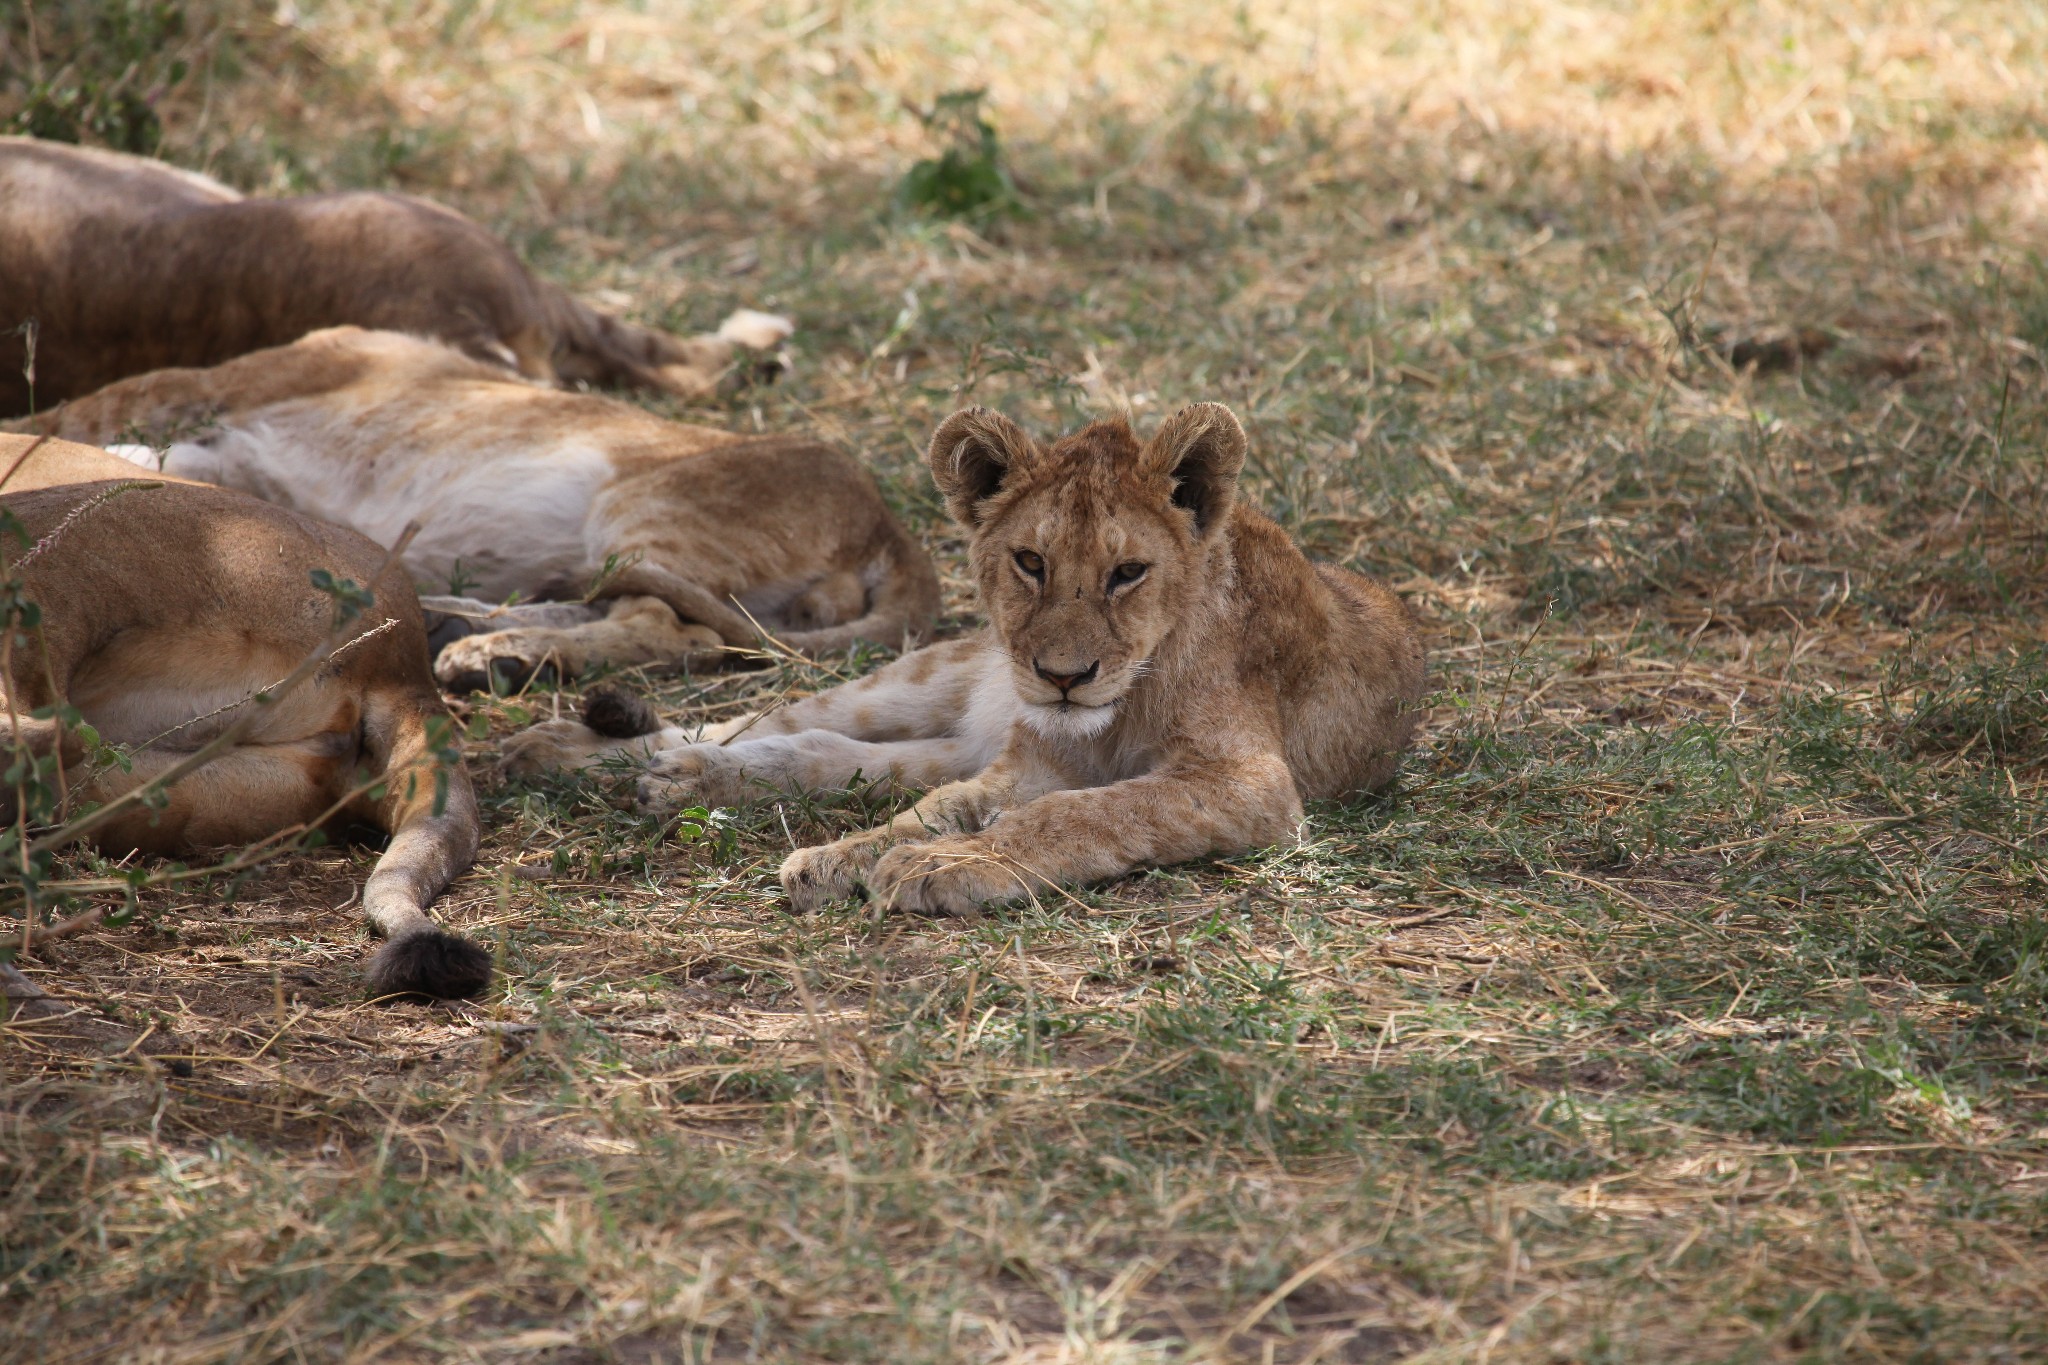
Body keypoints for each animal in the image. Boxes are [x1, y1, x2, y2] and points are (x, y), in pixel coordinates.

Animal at [14, 329, 942, 687]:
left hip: (641, 503)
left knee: (674, 628)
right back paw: (466, 636)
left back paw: (487, 652)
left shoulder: (246, 377)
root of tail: (892, 525)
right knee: (617, 608)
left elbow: (74, 411)